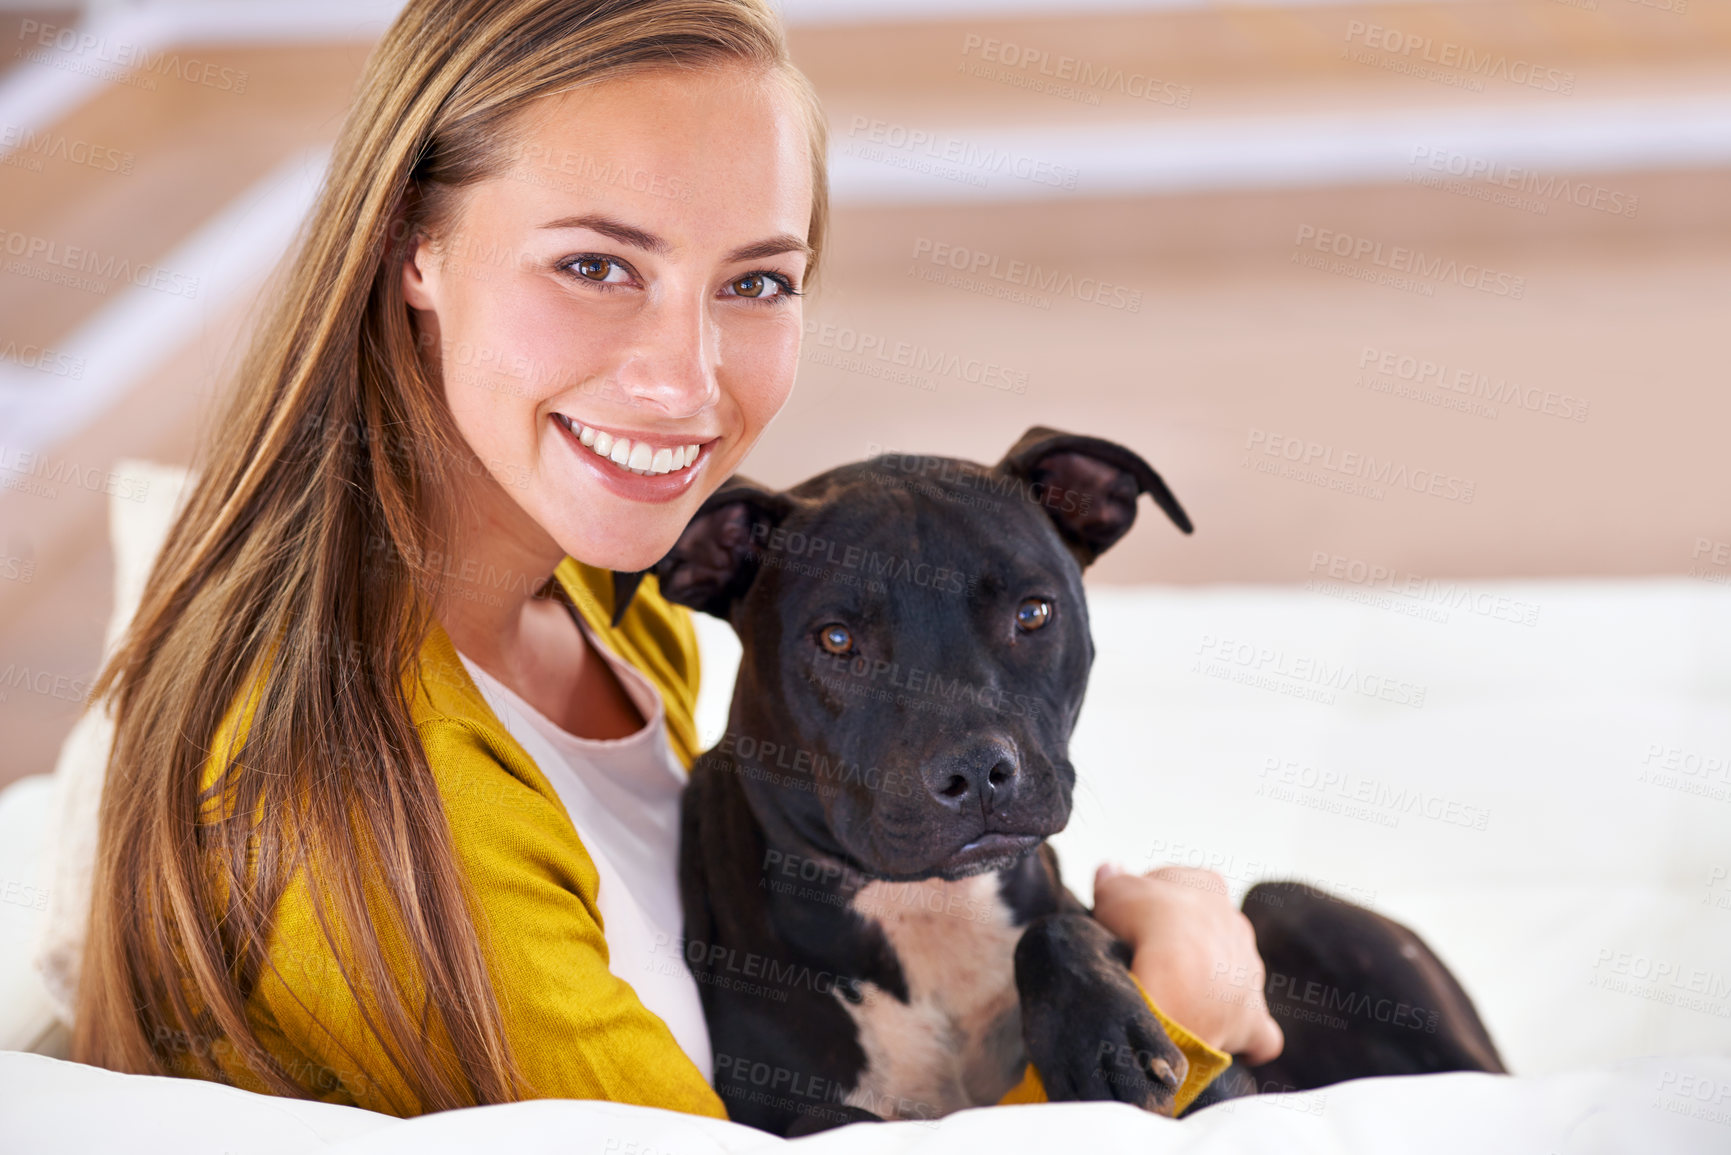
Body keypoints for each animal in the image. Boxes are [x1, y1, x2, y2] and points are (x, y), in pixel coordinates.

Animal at [623, 429, 1502, 1135]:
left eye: (1034, 612)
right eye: (835, 639)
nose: (977, 770)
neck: (927, 913)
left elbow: (1061, 927)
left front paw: (1107, 1035)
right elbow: (834, 1117)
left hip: (1294, 903)